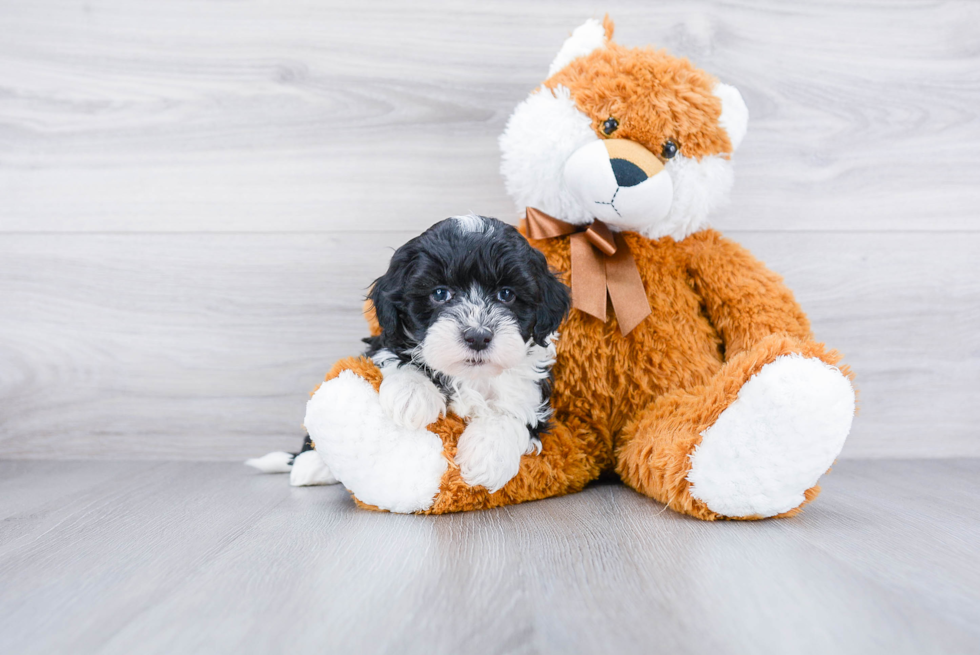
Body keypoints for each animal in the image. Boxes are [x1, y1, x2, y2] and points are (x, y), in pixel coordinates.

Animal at [247, 215, 576, 492]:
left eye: (506, 294)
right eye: (440, 293)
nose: (477, 336)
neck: (469, 376)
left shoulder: (533, 391)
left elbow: (514, 412)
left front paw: (486, 456)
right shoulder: (382, 341)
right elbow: (400, 357)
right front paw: (412, 397)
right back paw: (311, 465)